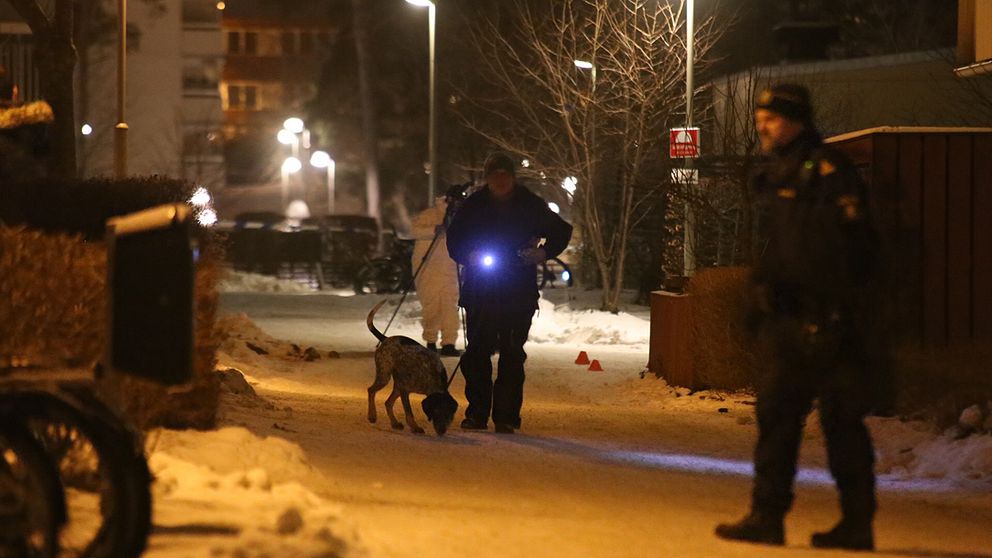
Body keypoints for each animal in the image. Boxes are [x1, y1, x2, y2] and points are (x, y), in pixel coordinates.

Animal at [366, 302, 460, 438]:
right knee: (371, 391)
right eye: (435, 412)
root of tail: (386, 338)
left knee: (388, 403)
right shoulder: (405, 390)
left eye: (449, 415)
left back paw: (394, 423)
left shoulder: (403, 388)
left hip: (396, 385)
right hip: (385, 376)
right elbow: (409, 413)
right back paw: (372, 415)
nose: (442, 431)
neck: (432, 376)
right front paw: (415, 427)